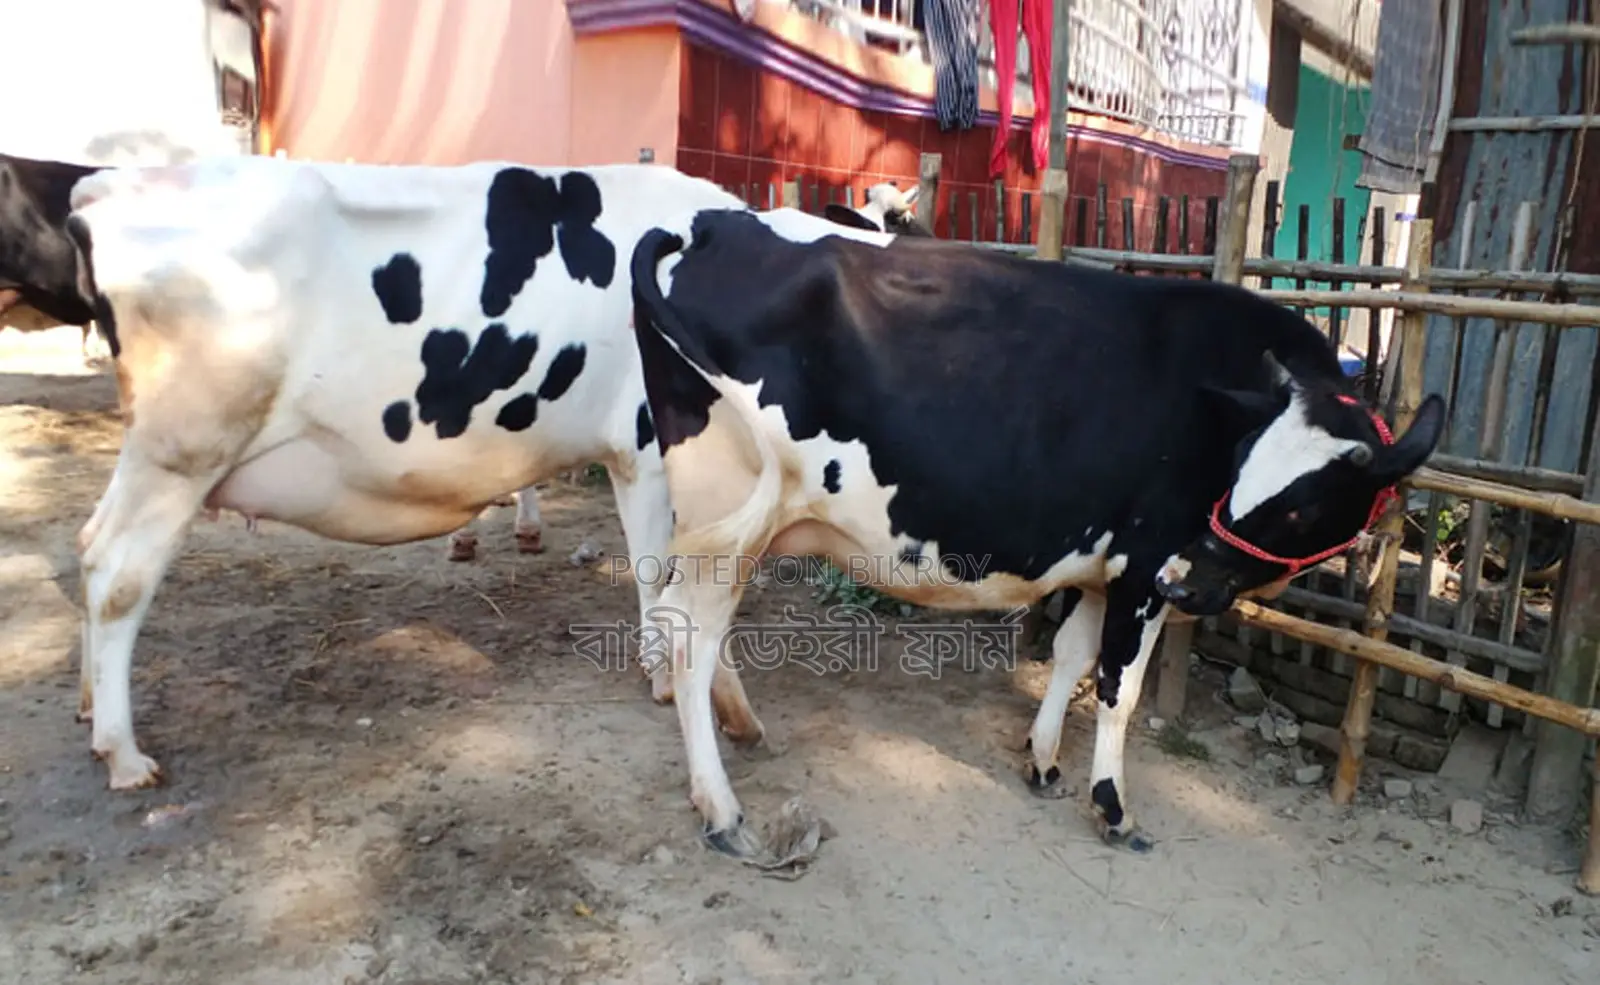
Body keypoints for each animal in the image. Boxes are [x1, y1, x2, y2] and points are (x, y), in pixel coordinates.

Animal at [62, 156, 766, 790]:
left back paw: (91, 708)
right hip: (183, 451)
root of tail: (109, 185)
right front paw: (665, 679)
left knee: (90, 545)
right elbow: (655, 570)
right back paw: (124, 754)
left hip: (156, 457)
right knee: (119, 576)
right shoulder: (645, 449)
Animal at [624, 206, 1445, 858]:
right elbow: (1118, 685)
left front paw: (1044, 761)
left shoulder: (1102, 561)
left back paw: (742, 726)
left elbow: (1071, 655)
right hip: (730, 512)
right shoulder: (1144, 562)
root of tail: (713, 223)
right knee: (691, 638)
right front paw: (1113, 807)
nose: (1189, 579)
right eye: (1246, 471)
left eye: (1301, 503)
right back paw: (722, 808)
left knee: (683, 622)